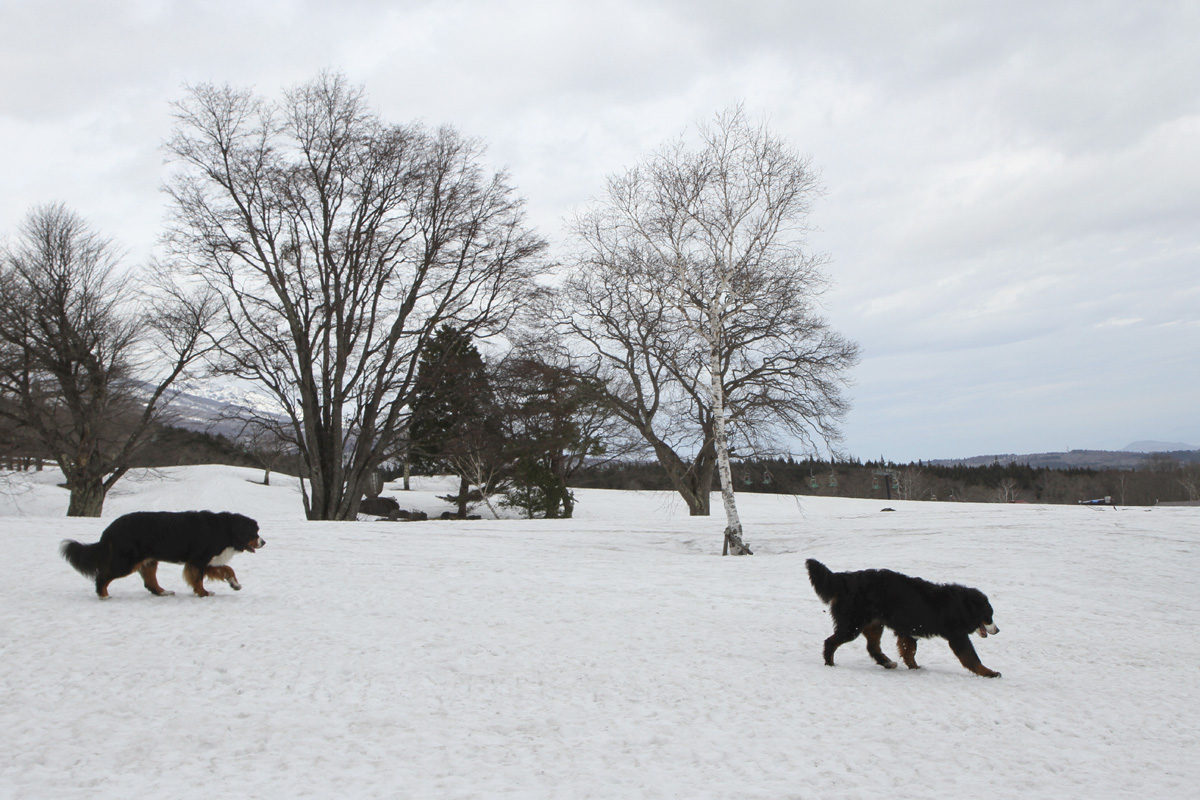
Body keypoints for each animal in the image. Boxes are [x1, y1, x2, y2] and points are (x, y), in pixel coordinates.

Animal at [60, 510, 265, 597]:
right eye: (254, 532)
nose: (263, 542)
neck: (225, 530)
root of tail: (110, 529)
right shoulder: (198, 560)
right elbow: (198, 579)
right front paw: (203, 593)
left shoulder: (205, 560)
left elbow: (227, 569)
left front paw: (234, 584)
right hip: (127, 561)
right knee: (102, 576)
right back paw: (103, 595)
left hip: (149, 560)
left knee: (150, 581)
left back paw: (163, 591)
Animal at [806, 561, 1003, 681]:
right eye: (989, 615)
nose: (998, 630)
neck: (961, 604)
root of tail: (846, 579)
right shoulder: (957, 637)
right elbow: (972, 658)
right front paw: (990, 673)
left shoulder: (908, 631)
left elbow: (909, 651)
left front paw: (915, 667)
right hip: (852, 625)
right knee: (831, 642)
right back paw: (830, 663)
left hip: (874, 624)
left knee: (872, 647)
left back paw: (887, 663)